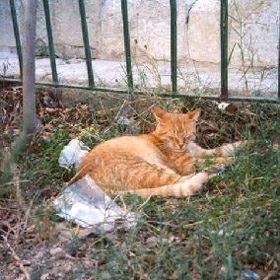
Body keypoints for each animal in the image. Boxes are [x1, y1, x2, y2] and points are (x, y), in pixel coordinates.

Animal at [74, 106, 245, 198]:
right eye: (172, 136)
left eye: (186, 135)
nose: (181, 145)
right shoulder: (187, 163)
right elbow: (214, 159)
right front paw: (236, 160)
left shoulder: (202, 152)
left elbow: (222, 149)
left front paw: (245, 144)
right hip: (151, 169)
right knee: (182, 179)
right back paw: (214, 174)